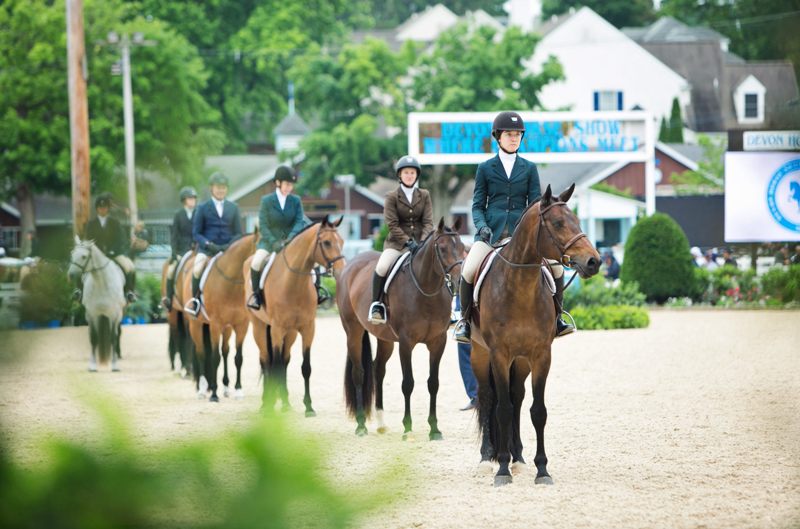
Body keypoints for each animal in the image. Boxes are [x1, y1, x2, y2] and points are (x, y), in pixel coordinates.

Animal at [68, 236, 126, 372]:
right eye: (72, 254)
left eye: (84, 256)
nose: (71, 275)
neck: (101, 283)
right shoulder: (92, 314)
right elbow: (94, 338)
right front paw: (92, 366)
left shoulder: (114, 315)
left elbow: (113, 337)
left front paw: (115, 365)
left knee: (118, 334)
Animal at [180, 233, 258, 402]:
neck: (232, 284)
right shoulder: (215, 324)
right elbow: (214, 357)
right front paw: (214, 394)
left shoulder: (242, 325)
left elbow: (238, 358)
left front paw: (238, 390)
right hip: (196, 325)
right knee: (202, 352)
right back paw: (202, 389)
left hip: (226, 327)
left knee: (225, 351)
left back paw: (226, 387)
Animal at [242, 217, 346, 414]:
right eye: (327, 243)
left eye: (342, 242)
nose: (341, 271)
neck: (293, 284)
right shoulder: (276, 329)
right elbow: (273, 365)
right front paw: (270, 406)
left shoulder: (308, 329)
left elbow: (305, 367)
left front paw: (309, 407)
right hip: (259, 326)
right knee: (266, 360)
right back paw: (266, 402)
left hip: (290, 333)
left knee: (284, 361)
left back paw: (285, 402)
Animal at [336, 216, 466, 438]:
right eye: (442, 248)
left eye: (463, 247)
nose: (458, 281)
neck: (426, 290)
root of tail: (351, 264)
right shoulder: (406, 343)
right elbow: (408, 383)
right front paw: (408, 428)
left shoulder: (437, 342)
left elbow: (433, 383)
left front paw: (434, 429)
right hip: (353, 332)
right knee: (359, 374)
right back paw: (361, 425)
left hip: (385, 339)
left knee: (378, 370)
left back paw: (381, 422)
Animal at [468, 184, 600, 484]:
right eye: (558, 223)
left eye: (577, 220)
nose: (594, 261)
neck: (520, 289)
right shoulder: (499, 355)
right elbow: (502, 409)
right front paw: (502, 470)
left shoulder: (541, 355)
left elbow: (537, 411)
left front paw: (542, 469)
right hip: (480, 354)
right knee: (488, 397)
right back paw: (487, 458)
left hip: (521, 361)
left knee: (517, 398)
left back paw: (518, 457)